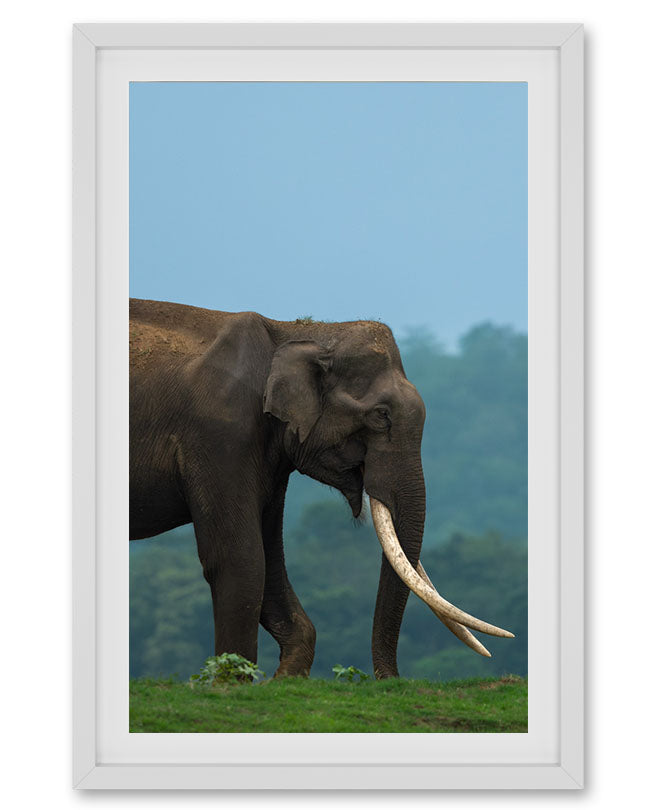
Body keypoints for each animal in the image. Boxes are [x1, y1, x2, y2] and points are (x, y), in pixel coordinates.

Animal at [130, 298, 513, 679]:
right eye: (381, 415)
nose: (391, 680)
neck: (294, 332)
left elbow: (269, 559)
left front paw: (283, 677)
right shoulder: (221, 434)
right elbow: (239, 558)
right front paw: (233, 681)